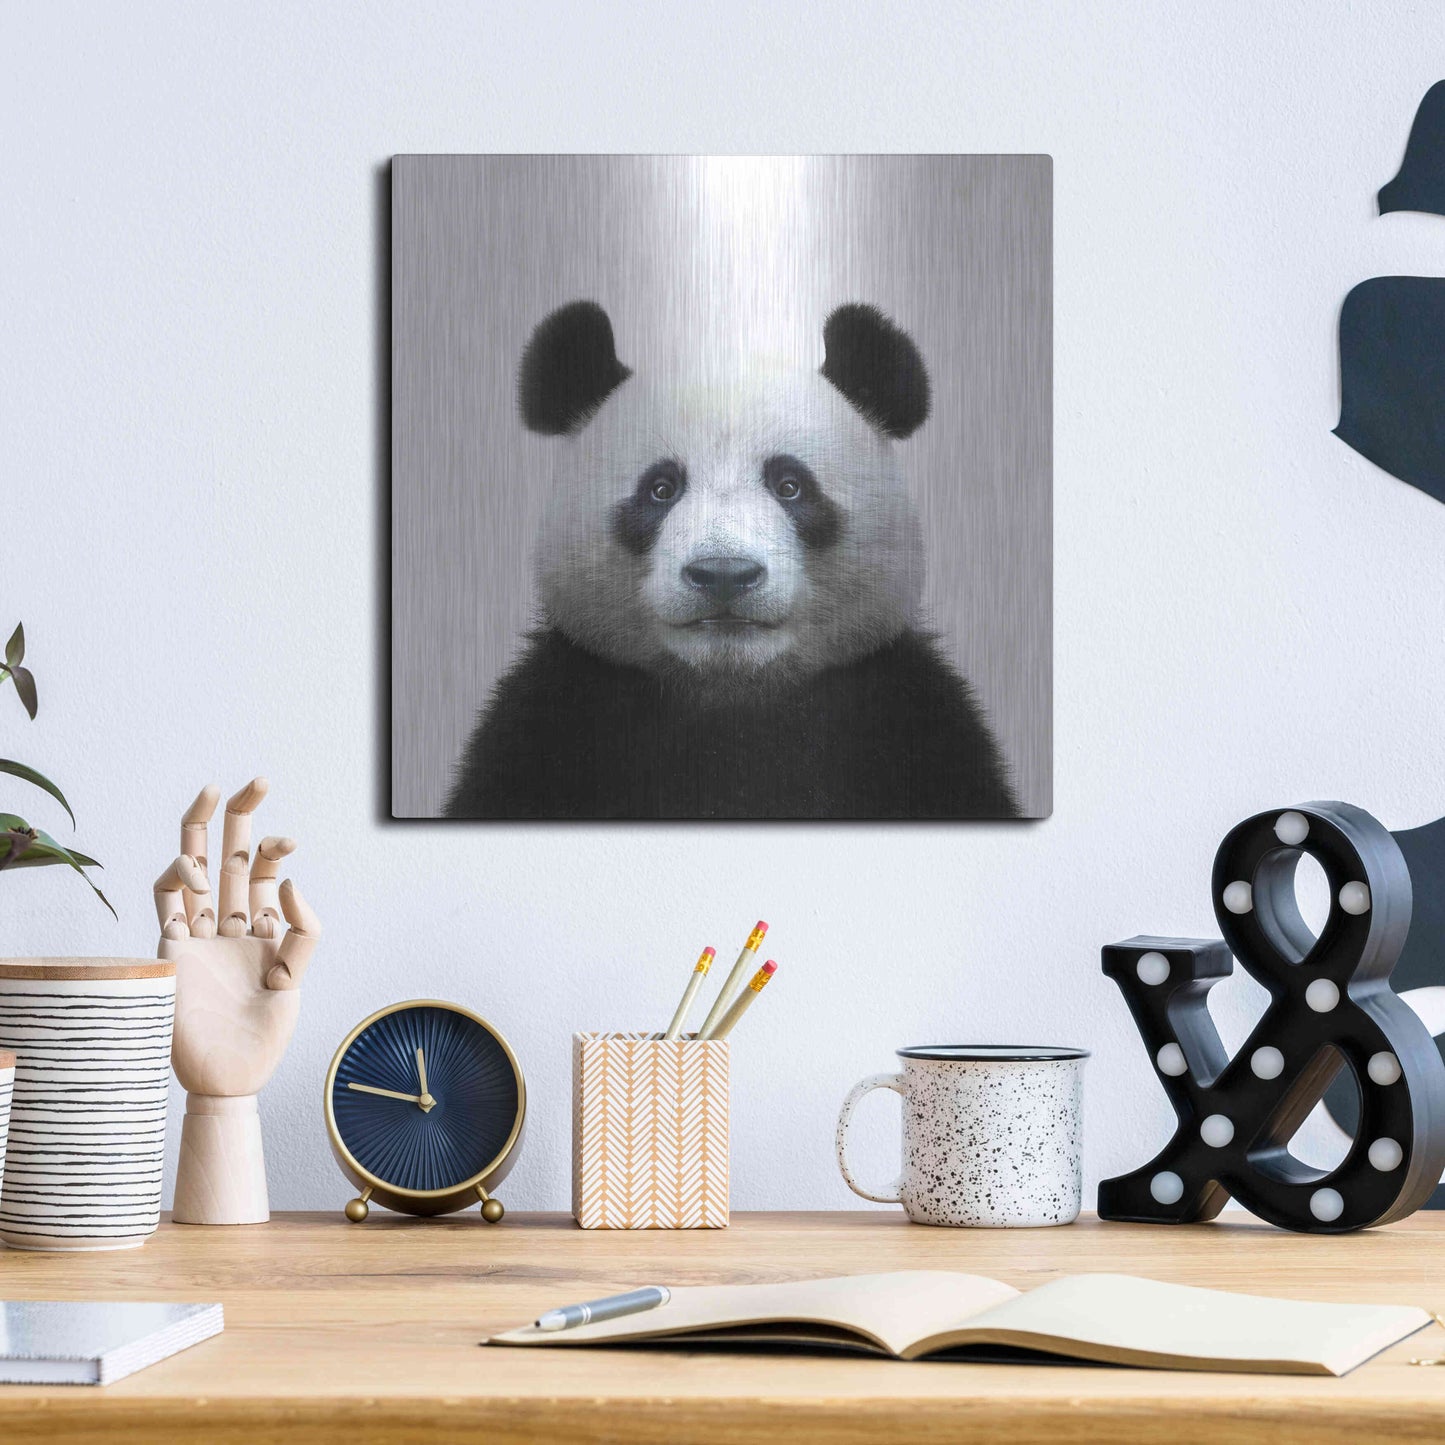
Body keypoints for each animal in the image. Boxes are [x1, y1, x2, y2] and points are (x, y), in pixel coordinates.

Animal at [445, 300, 1020, 821]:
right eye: (661, 488)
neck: (730, 696)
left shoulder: (910, 723)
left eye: (790, 485)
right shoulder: (552, 721)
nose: (724, 575)